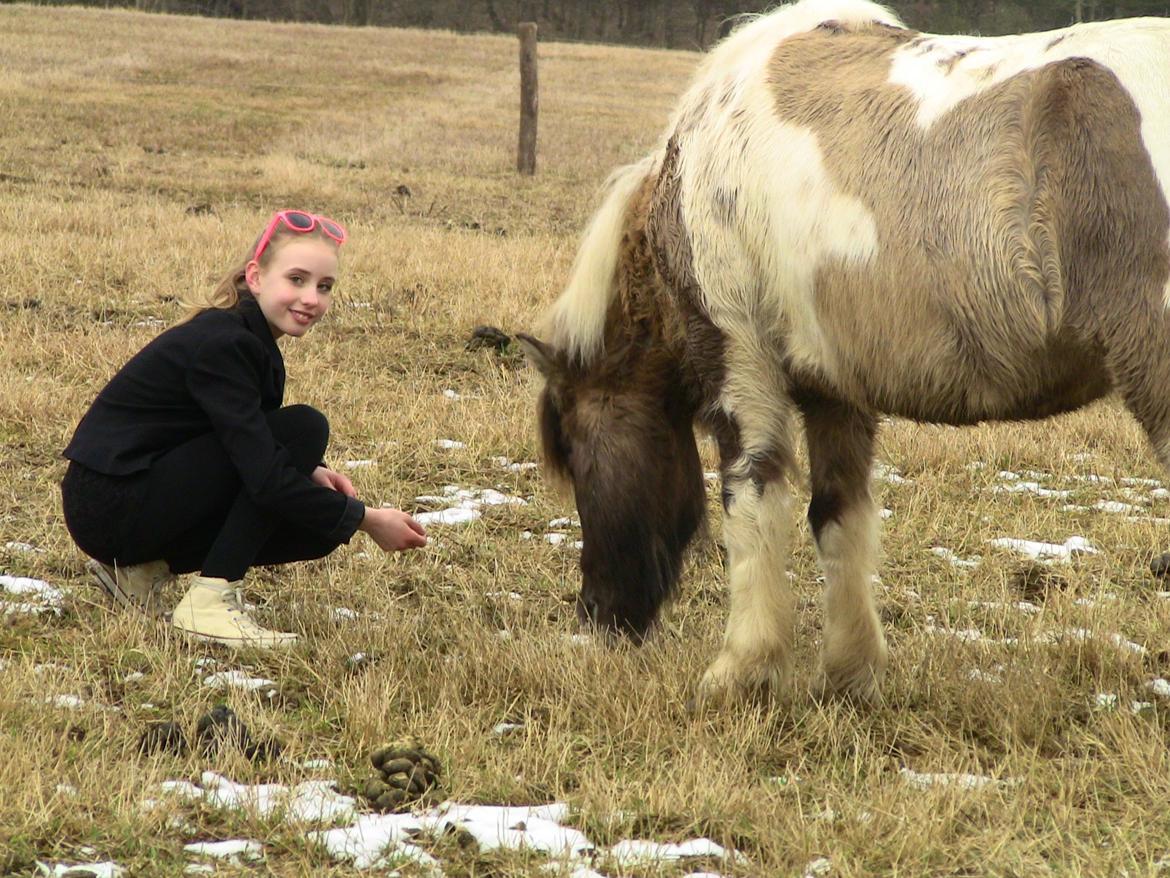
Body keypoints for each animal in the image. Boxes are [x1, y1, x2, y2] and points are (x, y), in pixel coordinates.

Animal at [517, 0, 1170, 707]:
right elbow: (839, 516)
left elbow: (752, 499)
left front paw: (742, 669)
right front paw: (849, 674)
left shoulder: (741, 363)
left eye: (574, 449)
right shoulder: (835, 390)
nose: (598, 614)